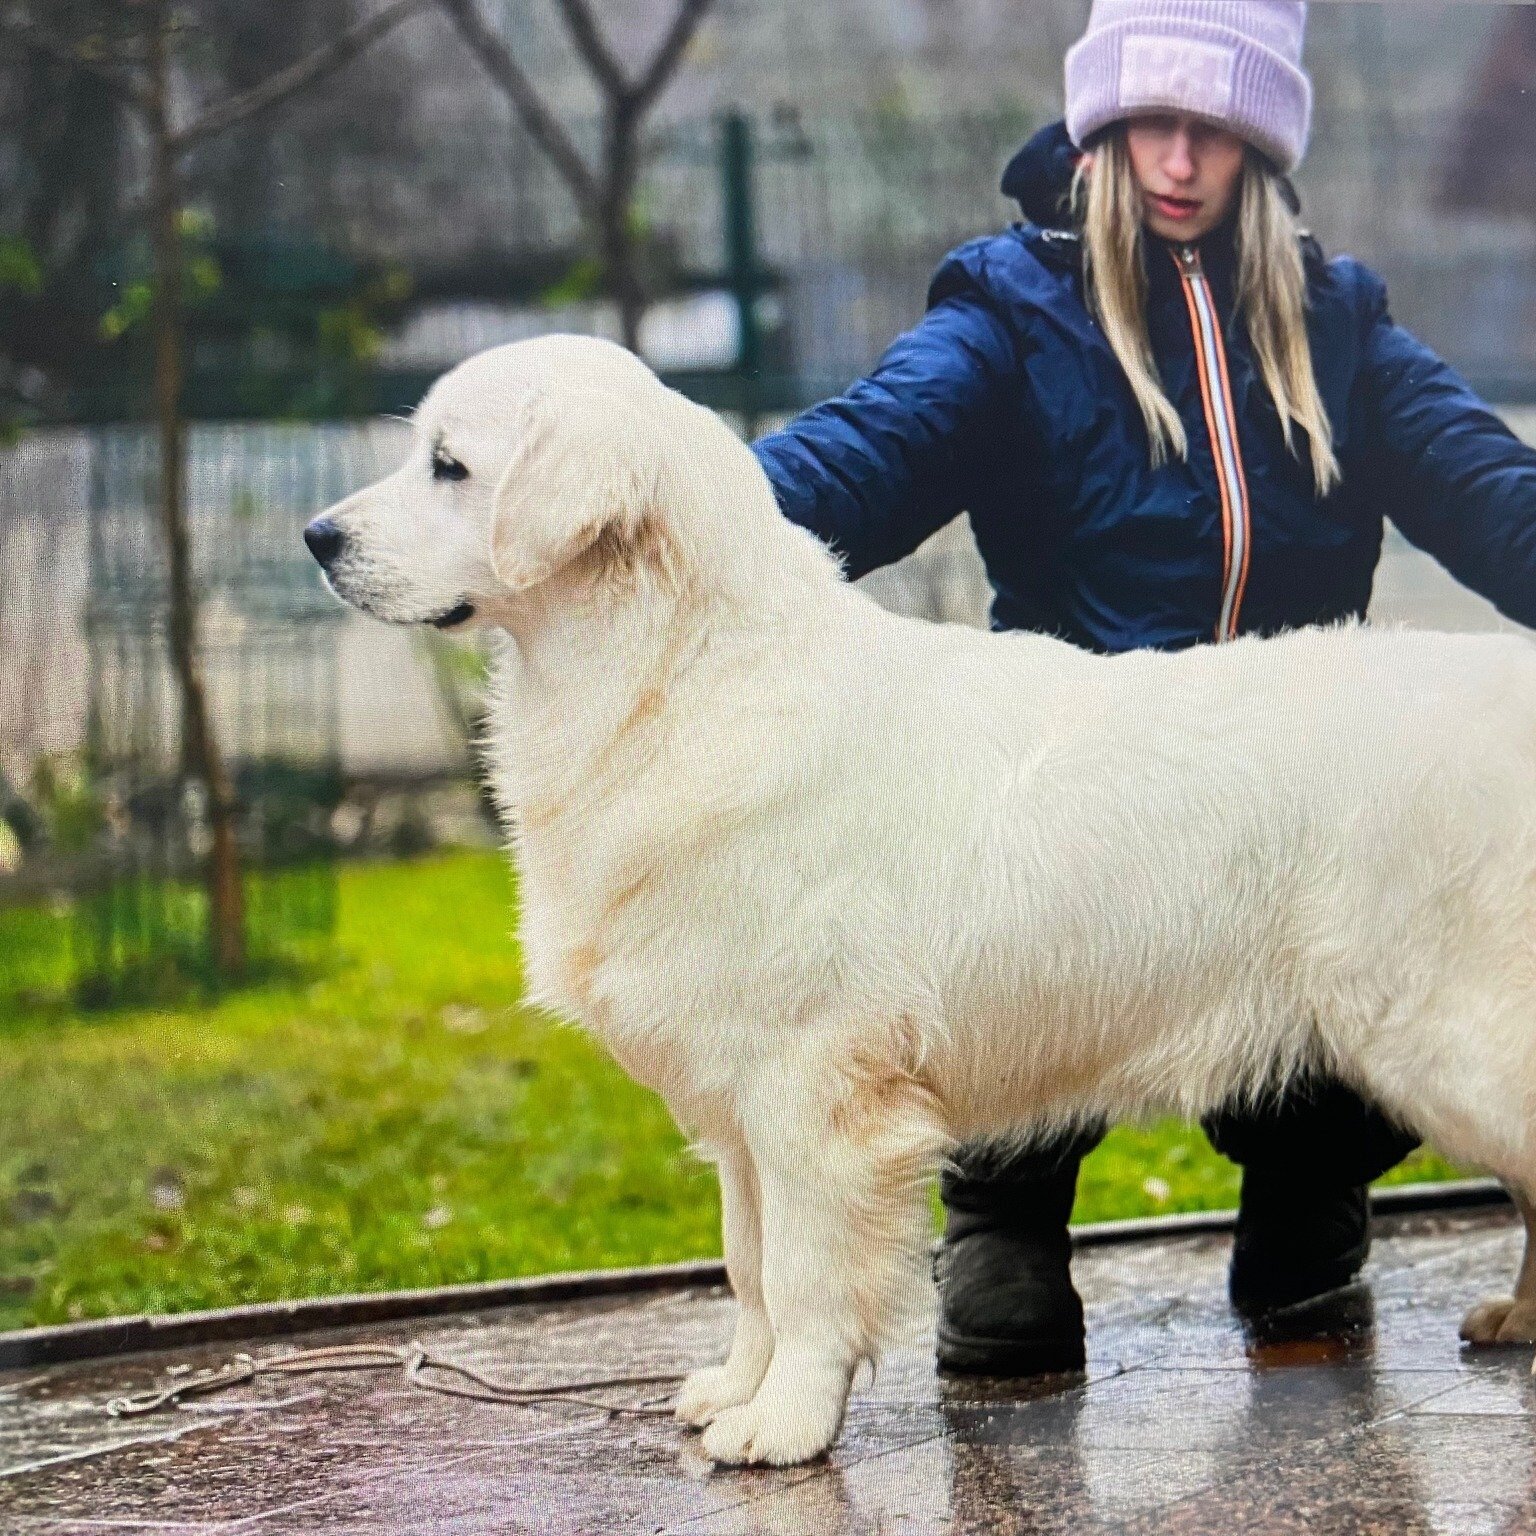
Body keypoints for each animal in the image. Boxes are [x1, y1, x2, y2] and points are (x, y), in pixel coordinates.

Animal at [305, 333, 1536, 1462]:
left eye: (450, 465)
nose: (317, 538)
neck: (675, 674)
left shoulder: (814, 1088)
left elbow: (803, 1277)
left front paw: (785, 1425)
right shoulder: (741, 1101)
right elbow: (748, 1266)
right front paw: (734, 1387)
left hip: (1443, 1037)